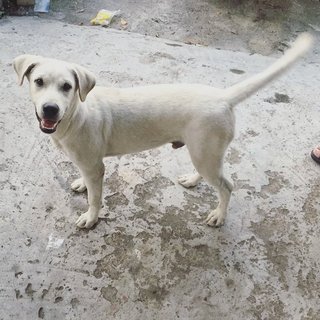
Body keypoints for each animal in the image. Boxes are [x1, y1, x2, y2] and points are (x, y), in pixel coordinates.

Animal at [13, 33, 312, 229]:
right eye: (39, 82)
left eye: (67, 87)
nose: (50, 109)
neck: (76, 114)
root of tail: (223, 97)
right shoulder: (87, 163)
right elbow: (86, 182)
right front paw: (80, 184)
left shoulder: (95, 167)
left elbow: (95, 198)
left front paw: (91, 217)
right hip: (205, 153)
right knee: (212, 175)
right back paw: (193, 180)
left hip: (204, 153)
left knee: (227, 186)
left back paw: (219, 215)